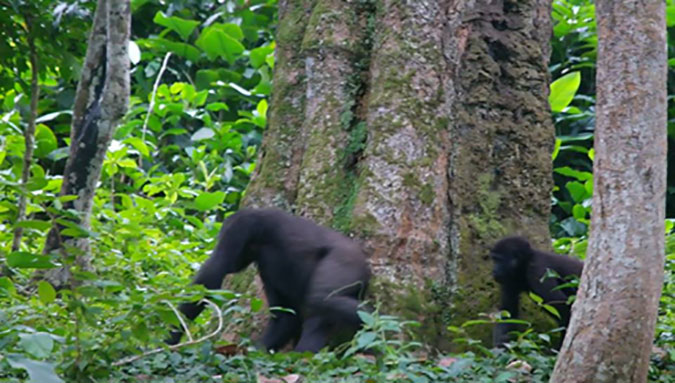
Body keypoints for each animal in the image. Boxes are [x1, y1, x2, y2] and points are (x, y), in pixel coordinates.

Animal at [166, 208, 372, 352]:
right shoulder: (266, 268)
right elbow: (285, 316)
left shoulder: (240, 228)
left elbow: (211, 276)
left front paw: (170, 337)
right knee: (319, 314)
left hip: (347, 260)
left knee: (322, 300)